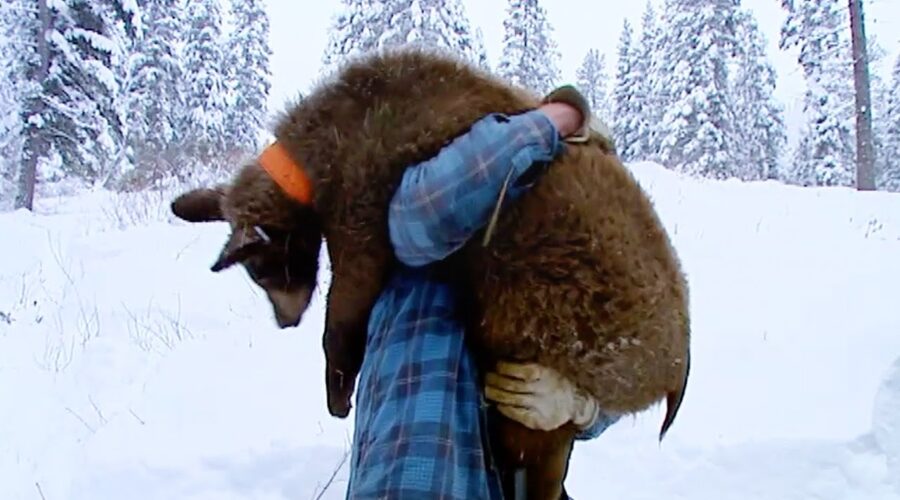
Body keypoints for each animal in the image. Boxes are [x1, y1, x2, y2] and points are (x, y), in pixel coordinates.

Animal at [169, 46, 688, 496]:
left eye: (261, 269)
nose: (285, 320)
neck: (316, 161)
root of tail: (675, 368)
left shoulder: (364, 207)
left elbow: (346, 305)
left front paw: (338, 389)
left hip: (562, 338)